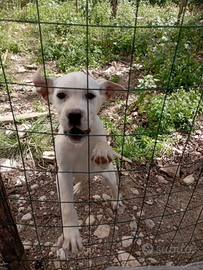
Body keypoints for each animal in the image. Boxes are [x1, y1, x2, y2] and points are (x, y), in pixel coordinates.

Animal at [32, 70, 126, 260]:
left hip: (109, 175)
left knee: (114, 187)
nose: (74, 114)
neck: (80, 143)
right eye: (61, 95)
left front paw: (101, 151)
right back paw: (78, 187)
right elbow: (67, 206)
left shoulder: (100, 137)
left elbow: (104, 143)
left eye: (90, 96)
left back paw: (115, 200)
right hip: (69, 178)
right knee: (80, 181)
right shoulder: (63, 174)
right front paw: (70, 236)